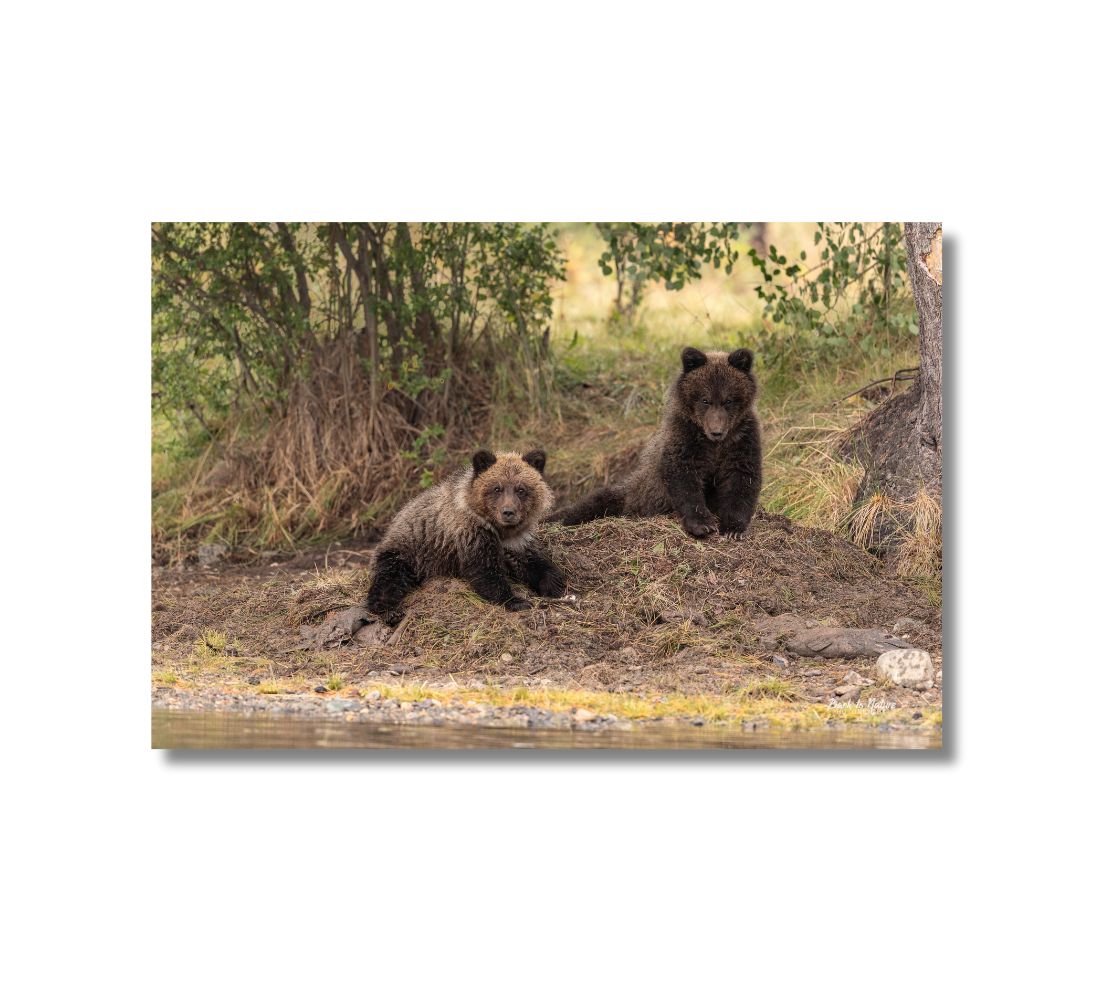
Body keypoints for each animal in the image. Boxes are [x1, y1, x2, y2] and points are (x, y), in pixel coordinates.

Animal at [366, 448, 565, 625]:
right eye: (497, 488)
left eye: (521, 489)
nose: (508, 512)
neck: (500, 530)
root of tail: (394, 522)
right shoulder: (471, 535)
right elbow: (485, 572)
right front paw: (516, 601)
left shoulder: (516, 542)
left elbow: (532, 562)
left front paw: (554, 583)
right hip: (406, 552)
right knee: (390, 578)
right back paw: (389, 611)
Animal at [550, 346, 762, 539]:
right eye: (705, 399)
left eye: (728, 400)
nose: (716, 431)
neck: (713, 444)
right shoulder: (684, 436)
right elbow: (683, 479)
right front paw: (702, 524)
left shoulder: (742, 438)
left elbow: (742, 477)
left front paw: (733, 528)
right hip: (633, 493)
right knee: (594, 502)